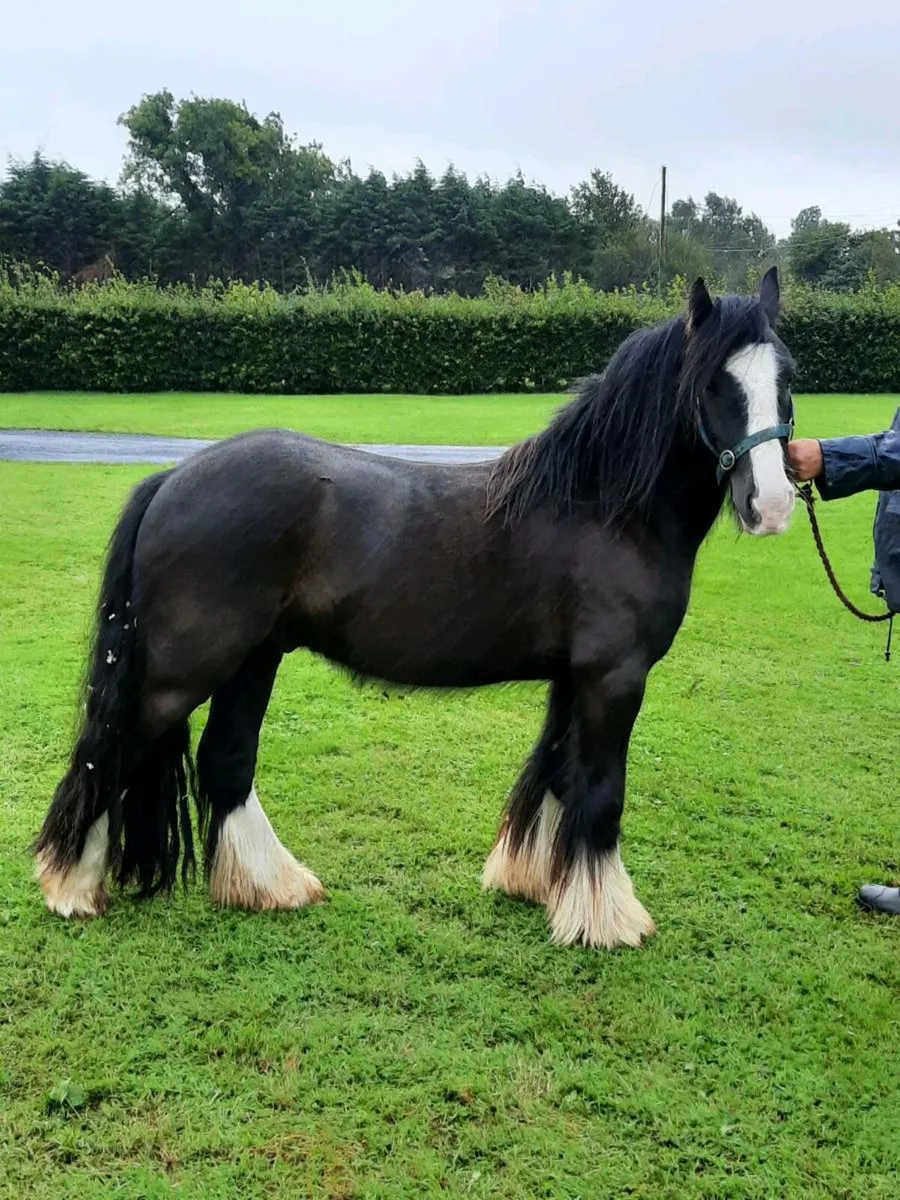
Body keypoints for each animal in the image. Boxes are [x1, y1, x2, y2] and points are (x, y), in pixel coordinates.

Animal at [33, 268, 797, 950]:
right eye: (714, 383)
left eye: (786, 380)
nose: (773, 505)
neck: (603, 508)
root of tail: (171, 478)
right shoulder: (614, 678)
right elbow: (601, 792)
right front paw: (607, 921)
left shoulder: (575, 678)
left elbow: (555, 776)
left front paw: (535, 884)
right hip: (182, 672)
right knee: (111, 751)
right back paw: (72, 888)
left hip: (254, 658)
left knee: (225, 760)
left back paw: (273, 886)